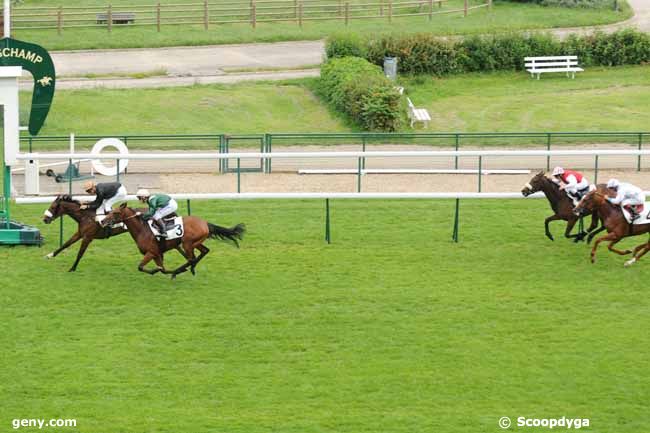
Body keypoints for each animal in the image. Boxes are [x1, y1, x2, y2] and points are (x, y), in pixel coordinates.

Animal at [104, 204, 246, 278]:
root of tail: (205, 223)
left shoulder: (151, 252)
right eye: (110, 211)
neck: (142, 230)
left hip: (187, 243)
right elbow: (162, 268)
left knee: (192, 258)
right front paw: (160, 271)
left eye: (115, 213)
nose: (104, 221)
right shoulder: (157, 253)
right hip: (196, 242)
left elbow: (141, 267)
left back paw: (183, 270)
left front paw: (159, 271)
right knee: (204, 251)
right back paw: (190, 269)